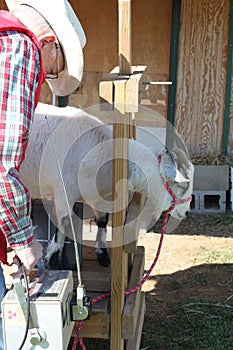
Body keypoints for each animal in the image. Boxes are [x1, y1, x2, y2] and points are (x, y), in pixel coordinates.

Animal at [20, 102, 194, 266]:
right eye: (180, 185)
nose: (186, 212)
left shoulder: (99, 197)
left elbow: (103, 221)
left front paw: (102, 254)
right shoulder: (64, 193)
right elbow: (64, 223)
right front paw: (53, 258)